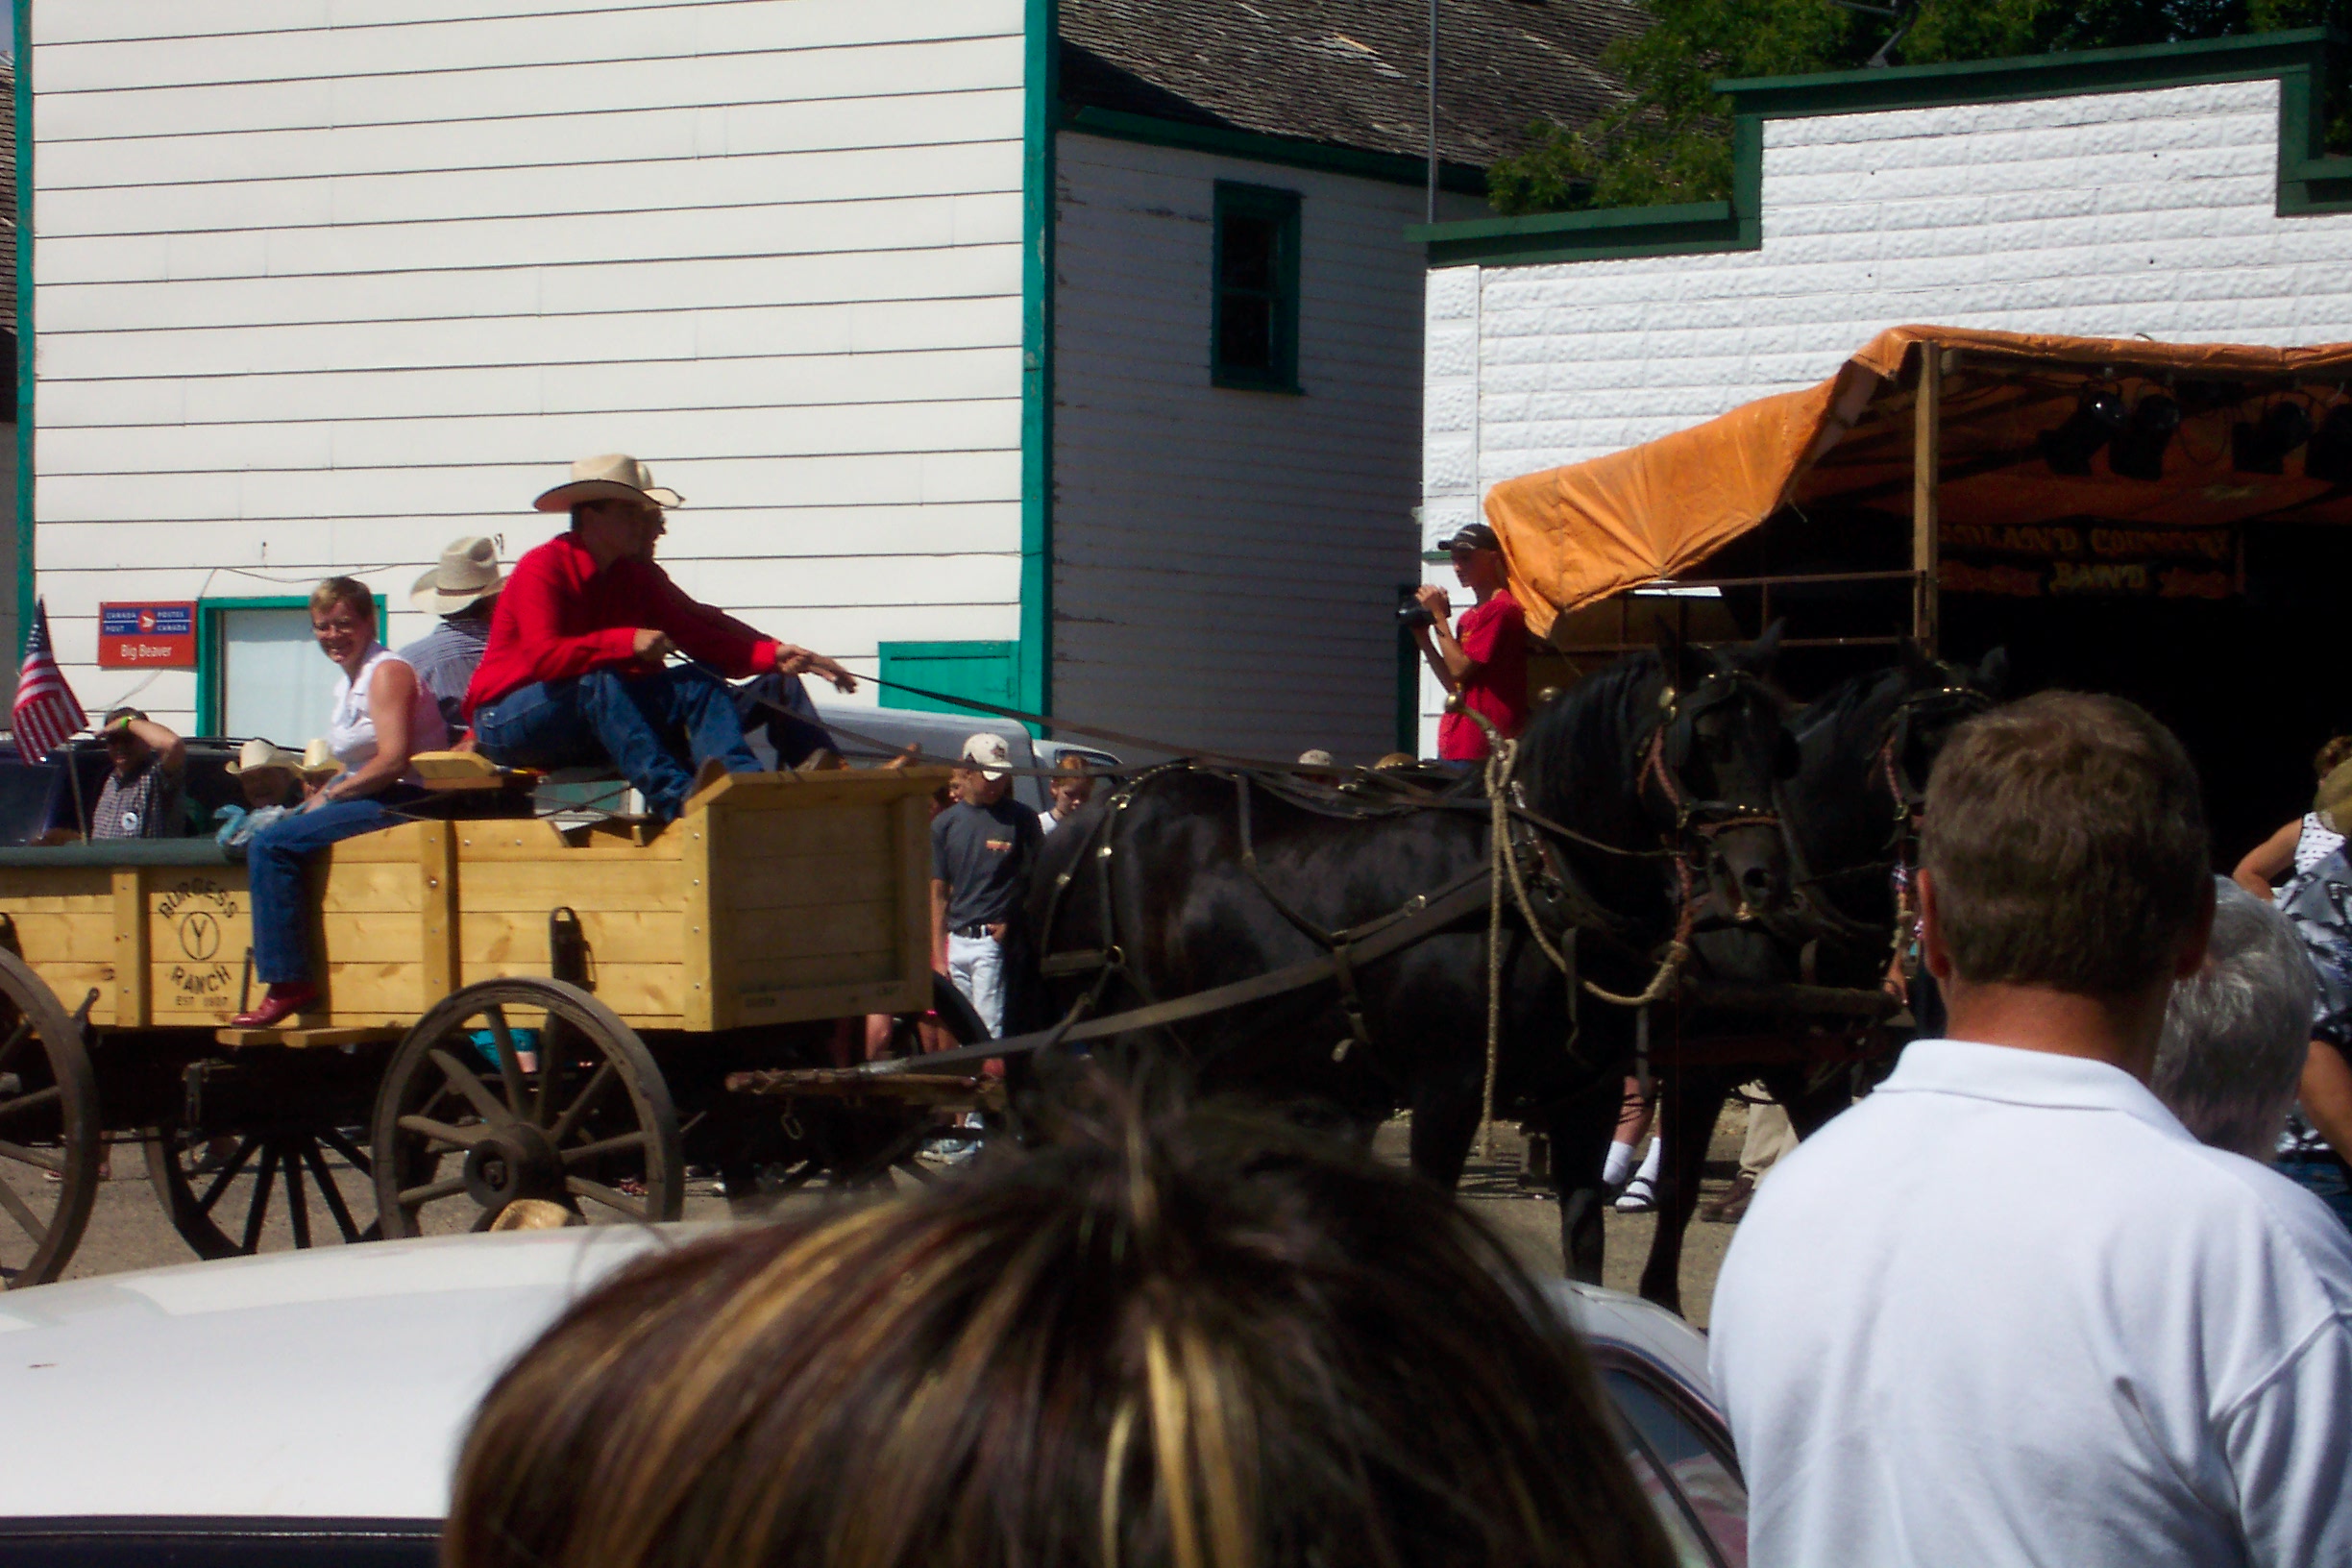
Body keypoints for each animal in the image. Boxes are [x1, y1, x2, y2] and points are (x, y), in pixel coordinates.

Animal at [1018, 627, 1801, 1280]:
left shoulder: (1588, 1095)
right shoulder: (1446, 1091)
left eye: (1780, 745)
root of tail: (1097, 816)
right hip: (1132, 1048)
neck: (1535, 876)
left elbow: (1585, 1247)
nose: (1763, 876)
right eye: (1704, 739)